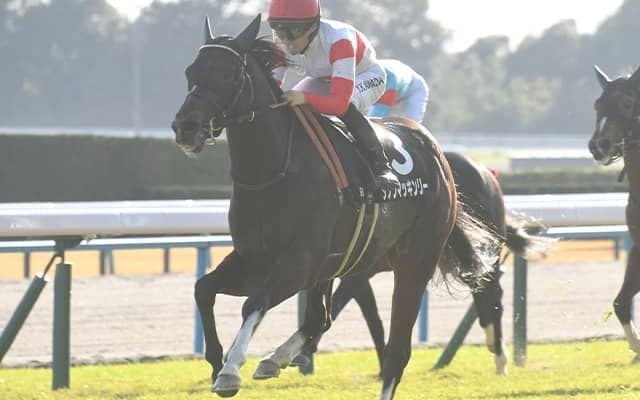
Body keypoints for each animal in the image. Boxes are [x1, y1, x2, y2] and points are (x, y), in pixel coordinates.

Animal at [171, 15, 501, 399]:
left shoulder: (298, 261)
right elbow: (204, 289)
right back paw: (276, 358)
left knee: (397, 349)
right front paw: (216, 361)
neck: (273, 171)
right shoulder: (255, 259)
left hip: (415, 261)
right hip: (339, 265)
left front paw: (230, 370)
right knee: (320, 318)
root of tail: (437, 155)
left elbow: (253, 303)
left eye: (228, 75)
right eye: (190, 71)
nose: (185, 127)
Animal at [291, 152, 552, 376]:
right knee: (485, 293)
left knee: (491, 295)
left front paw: (302, 352)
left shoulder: (358, 271)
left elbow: (341, 305)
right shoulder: (355, 273)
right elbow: (370, 315)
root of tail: (486, 172)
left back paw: (499, 357)